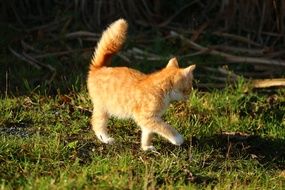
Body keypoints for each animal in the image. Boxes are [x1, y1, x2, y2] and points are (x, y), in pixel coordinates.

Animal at [87, 18, 195, 151]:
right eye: (189, 87)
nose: (189, 95)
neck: (162, 90)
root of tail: (98, 68)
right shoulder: (145, 117)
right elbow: (165, 127)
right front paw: (177, 138)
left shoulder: (149, 120)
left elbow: (147, 133)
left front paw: (146, 147)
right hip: (103, 108)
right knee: (97, 123)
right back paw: (105, 139)